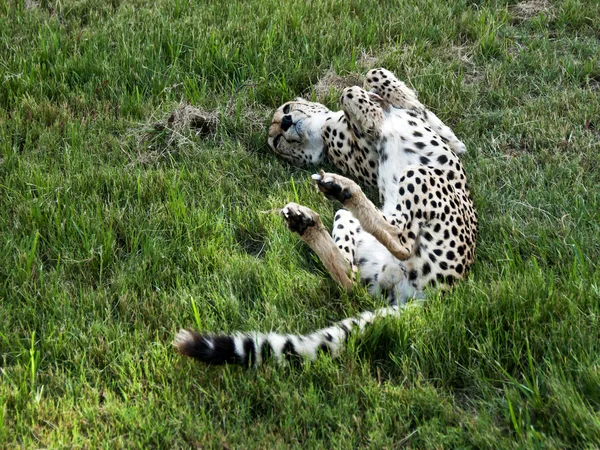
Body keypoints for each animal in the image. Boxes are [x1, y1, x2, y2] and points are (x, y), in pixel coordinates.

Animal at [173, 69, 478, 366]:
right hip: (415, 176)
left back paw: (313, 215)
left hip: (371, 224)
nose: (286, 122)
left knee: (351, 282)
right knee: (391, 248)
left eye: (287, 108)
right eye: (277, 141)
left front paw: (393, 96)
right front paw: (370, 114)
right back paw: (330, 201)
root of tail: (440, 291)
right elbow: (349, 94)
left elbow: (379, 80)